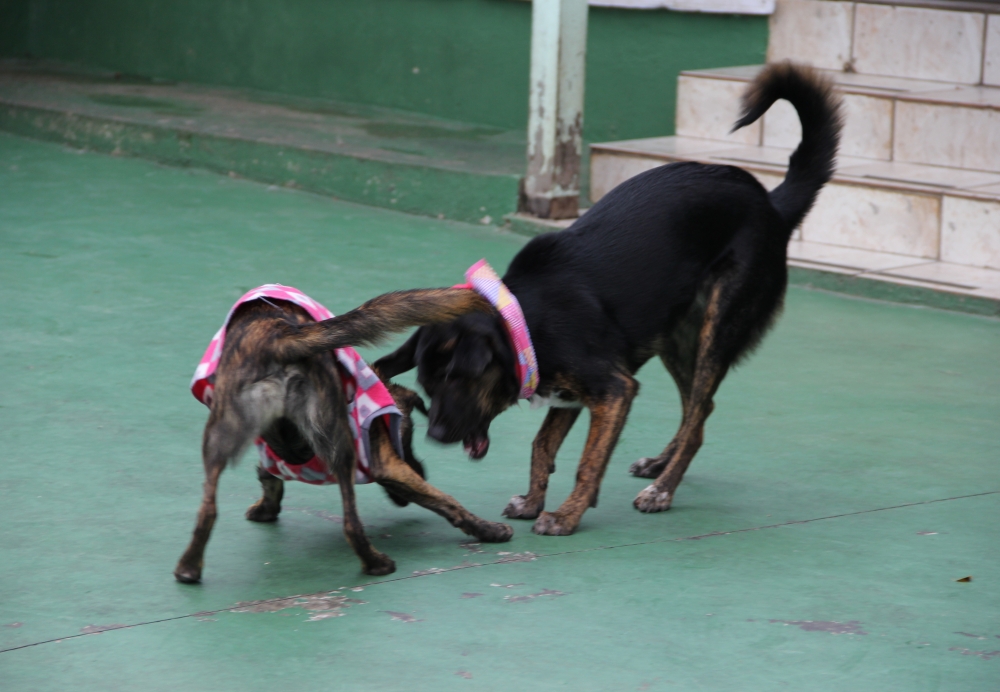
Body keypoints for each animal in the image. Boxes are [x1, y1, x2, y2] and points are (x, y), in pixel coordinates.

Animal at [172, 288, 512, 584]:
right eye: (409, 440)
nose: (421, 470)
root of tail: (280, 337)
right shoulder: (388, 463)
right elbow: (448, 502)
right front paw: (488, 529)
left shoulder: (267, 453)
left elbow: (268, 478)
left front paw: (266, 508)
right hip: (341, 441)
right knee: (352, 523)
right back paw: (376, 564)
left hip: (220, 435)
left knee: (208, 510)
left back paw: (188, 568)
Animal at [376, 63, 844, 536]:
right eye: (426, 386)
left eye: (456, 381)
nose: (435, 436)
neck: (524, 321)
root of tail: (770, 203)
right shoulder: (573, 395)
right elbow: (541, 445)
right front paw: (532, 501)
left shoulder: (614, 390)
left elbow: (587, 461)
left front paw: (565, 516)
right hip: (674, 337)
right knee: (699, 405)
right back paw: (660, 463)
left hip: (718, 327)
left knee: (697, 416)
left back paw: (662, 490)